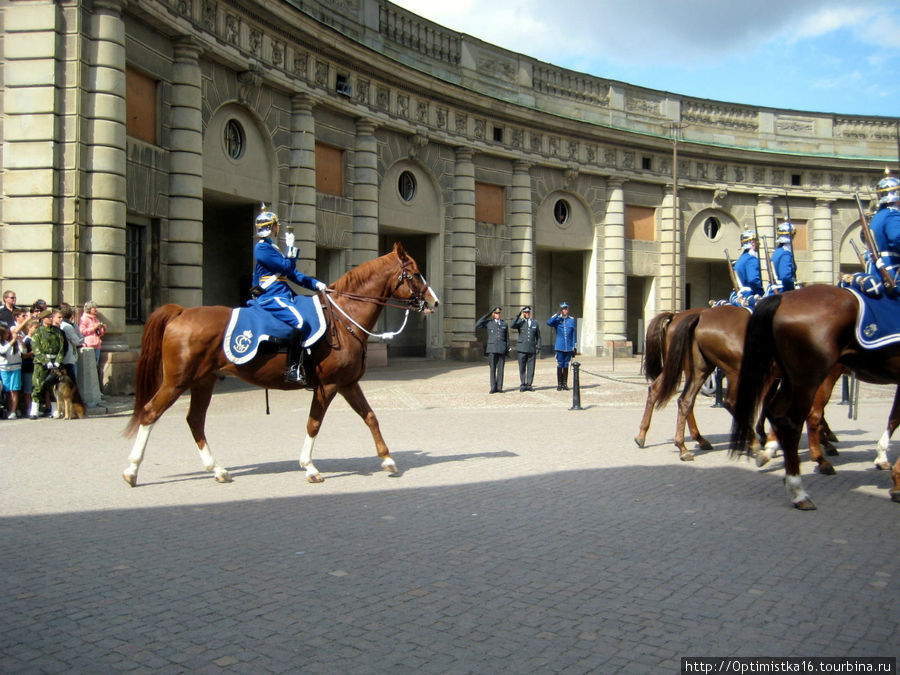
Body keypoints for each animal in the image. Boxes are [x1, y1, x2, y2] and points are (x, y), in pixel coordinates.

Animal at [123, 243, 440, 486]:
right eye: (414, 273)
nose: (434, 302)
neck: (343, 318)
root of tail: (182, 312)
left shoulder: (348, 383)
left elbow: (370, 416)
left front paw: (387, 459)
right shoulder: (328, 385)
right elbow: (314, 423)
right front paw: (309, 467)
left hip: (203, 381)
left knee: (195, 421)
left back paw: (217, 470)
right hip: (176, 382)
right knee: (150, 413)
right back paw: (131, 470)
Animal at [732, 282, 900, 510]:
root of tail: (783, 298)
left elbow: (894, 418)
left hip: (791, 378)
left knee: (776, 411)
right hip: (810, 379)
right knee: (796, 420)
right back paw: (799, 488)